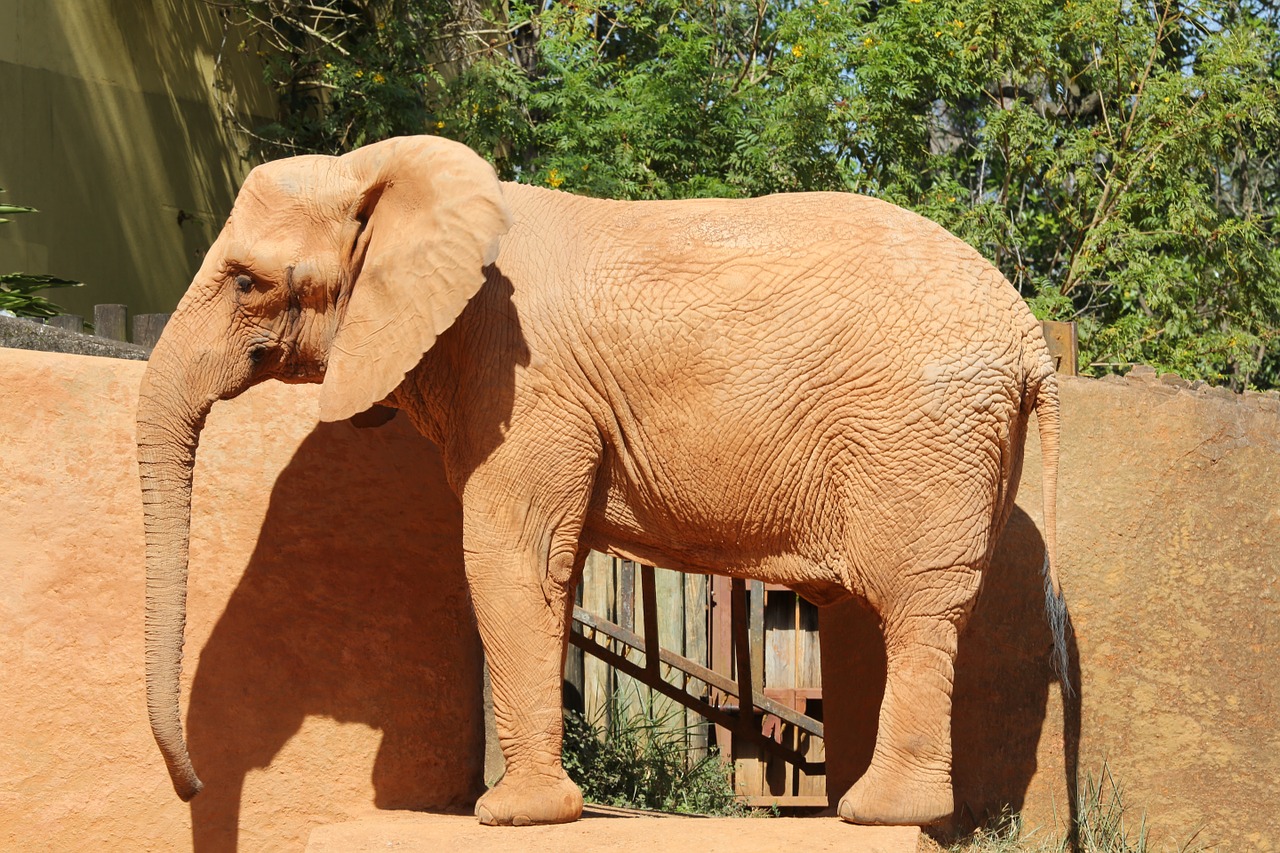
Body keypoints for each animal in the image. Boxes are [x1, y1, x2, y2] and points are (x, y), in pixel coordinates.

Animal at [137, 133, 1070, 824]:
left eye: (248, 282)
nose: (192, 783)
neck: (388, 175)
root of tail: (1031, 335)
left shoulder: (525, 382)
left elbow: (505, 557)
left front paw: (510, 816)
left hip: (924, 435)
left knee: (917, 607)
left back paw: (878, 813)